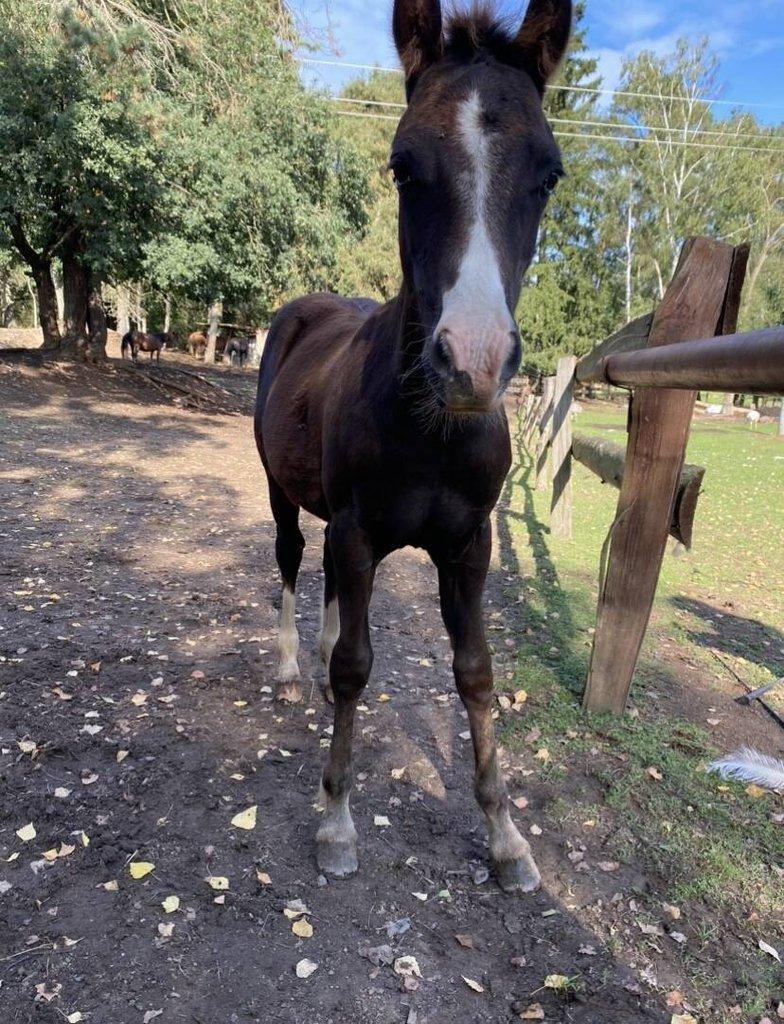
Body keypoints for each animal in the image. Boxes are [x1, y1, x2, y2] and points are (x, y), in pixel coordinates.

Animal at [254, 0, 571, 894]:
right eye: (401, 168)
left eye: (549, 173)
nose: (471, 360)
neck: (431, 432)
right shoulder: (361, 530)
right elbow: (357, 666)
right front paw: (335, 819)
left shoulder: (467, 545)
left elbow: (475, 672)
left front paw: (507, 838)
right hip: (286, 497)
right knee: (293, 563)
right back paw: (290, 667)